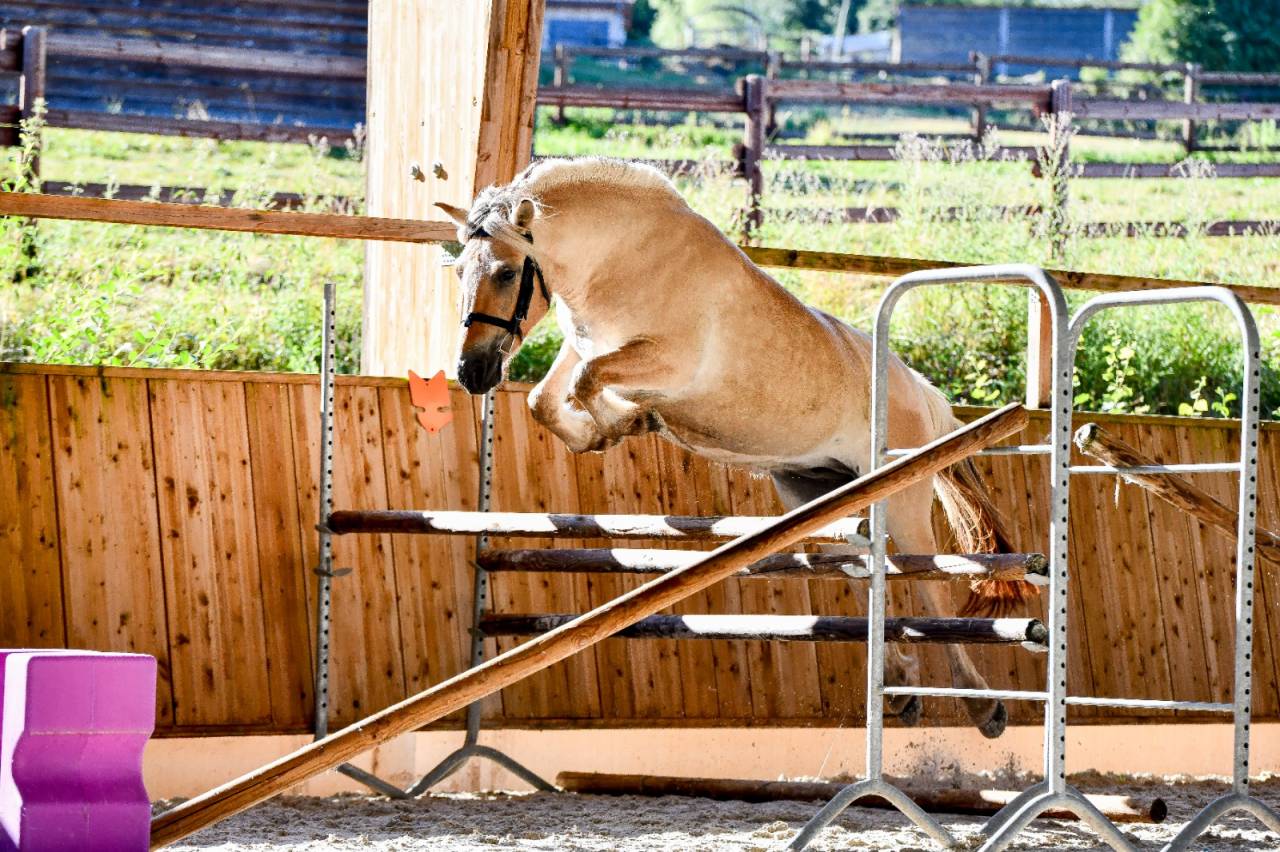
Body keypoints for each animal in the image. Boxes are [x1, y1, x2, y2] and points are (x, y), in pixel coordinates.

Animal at [435, 157, 1031, 738]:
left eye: (506, 272)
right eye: (460, 272)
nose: (471, 373)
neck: (621, 259)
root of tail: (919, 390)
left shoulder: (663, 362)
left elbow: (588, 382)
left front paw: (632, 422)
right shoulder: (585, 347)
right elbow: (546, 398)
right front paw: (608, 430)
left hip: (902, 499)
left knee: (927, 582)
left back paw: (982, 706)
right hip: (820, 494)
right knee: (867, 571)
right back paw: (904, 688)